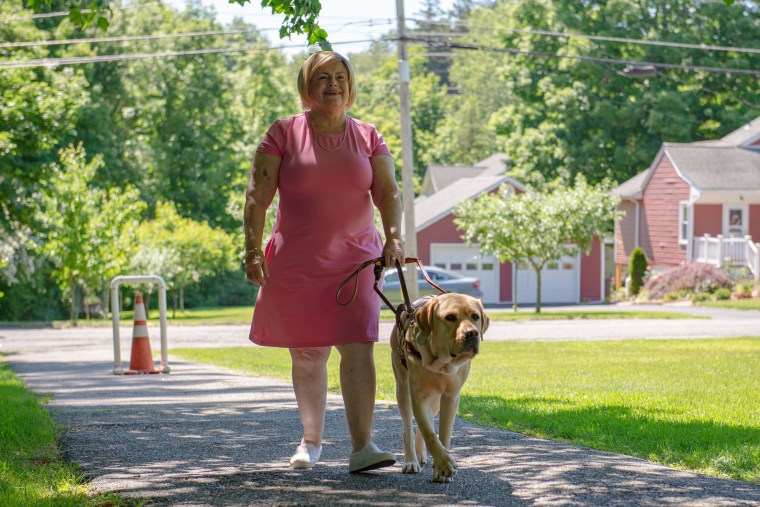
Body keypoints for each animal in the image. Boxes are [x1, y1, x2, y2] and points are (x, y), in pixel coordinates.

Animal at [388, 292, 490, 482]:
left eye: (475, 316)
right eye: (450, 317)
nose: (472, 333)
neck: (442, 364)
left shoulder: (451, 396)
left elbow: (443, 433)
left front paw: (440, 466)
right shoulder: (419, 396)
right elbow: (430, 433)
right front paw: (444, 463)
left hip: (435, 400)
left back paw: (421, 454)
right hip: (403, 389)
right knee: (408, 429)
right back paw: (411, 460)